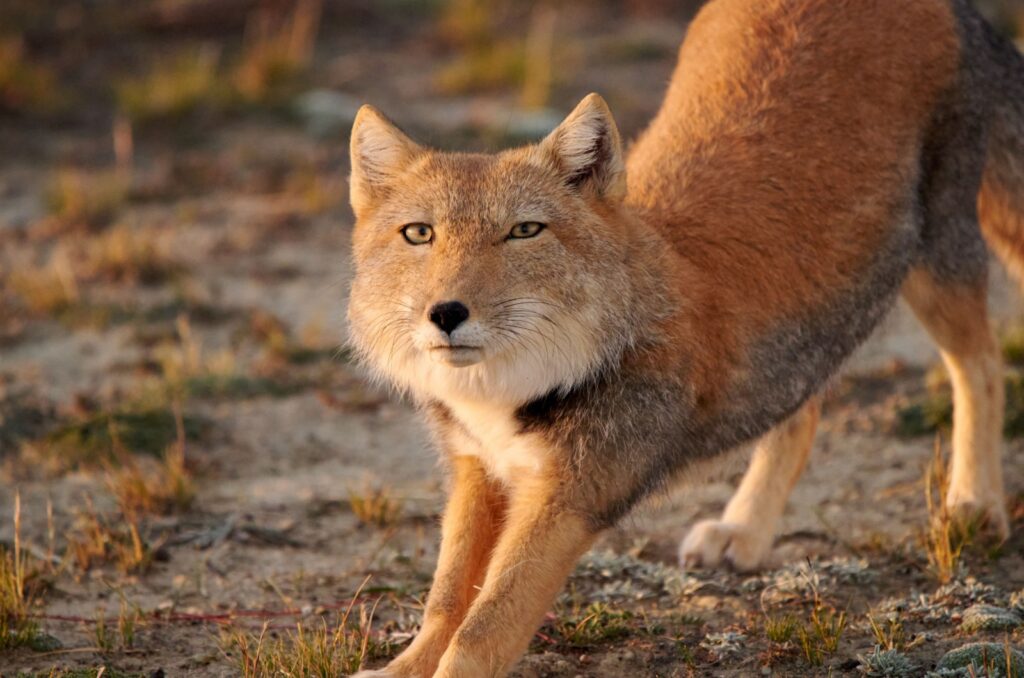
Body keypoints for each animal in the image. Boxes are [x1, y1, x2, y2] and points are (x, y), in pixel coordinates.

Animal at [346, 0, 1024, 675]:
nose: (446, 313)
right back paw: (747, 530)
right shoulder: (477, 469)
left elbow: (482, 628)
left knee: (983, 365)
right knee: (802, 411)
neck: (517, 390)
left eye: (524, 231)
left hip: (936, 265)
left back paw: (974, 503)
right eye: (419, 234)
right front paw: (401, 667)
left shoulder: (569, 496)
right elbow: (445, 603)